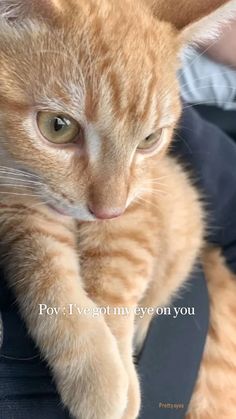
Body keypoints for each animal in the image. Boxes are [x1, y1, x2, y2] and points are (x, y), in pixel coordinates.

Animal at [0, 0, 235, 419]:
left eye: (149, 140)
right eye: (57, 126)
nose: (105, 211)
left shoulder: (137, 208)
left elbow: (116, 276)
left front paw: (117, 370)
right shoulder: (18, 206)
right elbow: (46, 272)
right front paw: (95, 369)